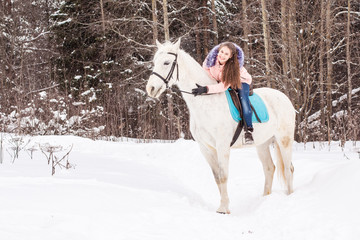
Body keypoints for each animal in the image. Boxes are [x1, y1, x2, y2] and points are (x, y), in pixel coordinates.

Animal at [146, 39, 296, 214]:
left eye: (166, 62)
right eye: (154, 62)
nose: (150, 89)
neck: (206, 101)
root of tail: (284, 97)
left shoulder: (222, 145)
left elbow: (223, 175)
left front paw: (224, 209)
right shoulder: (205, 147)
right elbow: (217, 177)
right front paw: (223, 206)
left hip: (284, 140)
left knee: (288, 169)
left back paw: (290, 197)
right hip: (262, 143)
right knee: (269, 168)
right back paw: (265, 199)